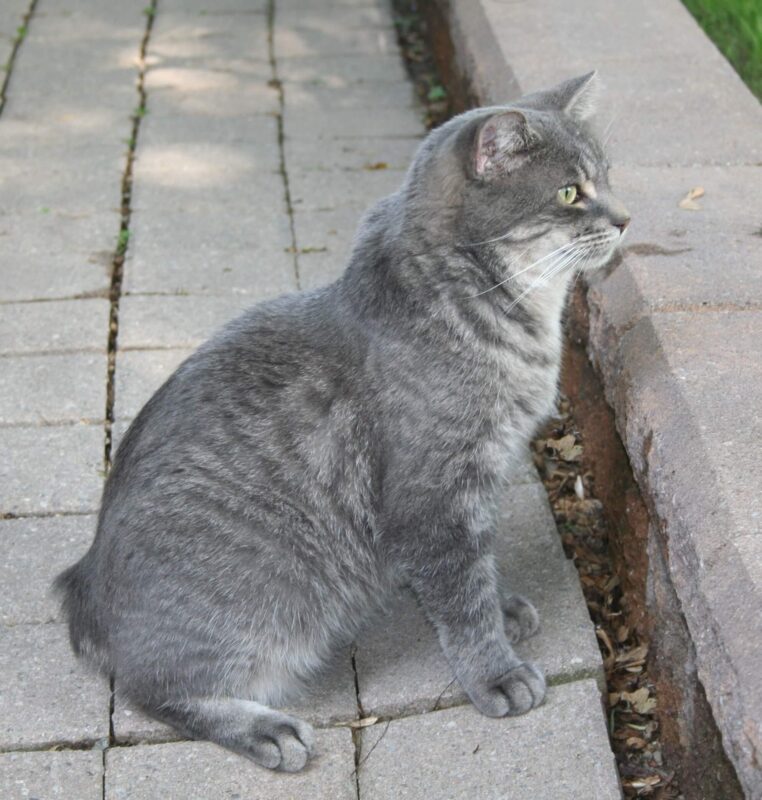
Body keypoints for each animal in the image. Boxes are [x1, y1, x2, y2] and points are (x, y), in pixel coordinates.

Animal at [55, 73, 628, 768]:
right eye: (571, 192)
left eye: (607, 176)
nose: (625, 219)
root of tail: (83, 592)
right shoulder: (433, 500)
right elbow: (461, 598)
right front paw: (495, 671)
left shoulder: (476, 485)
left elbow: (478, 571)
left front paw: (501, 605)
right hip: (258, 613)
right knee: (157, 690)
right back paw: (266, 729)